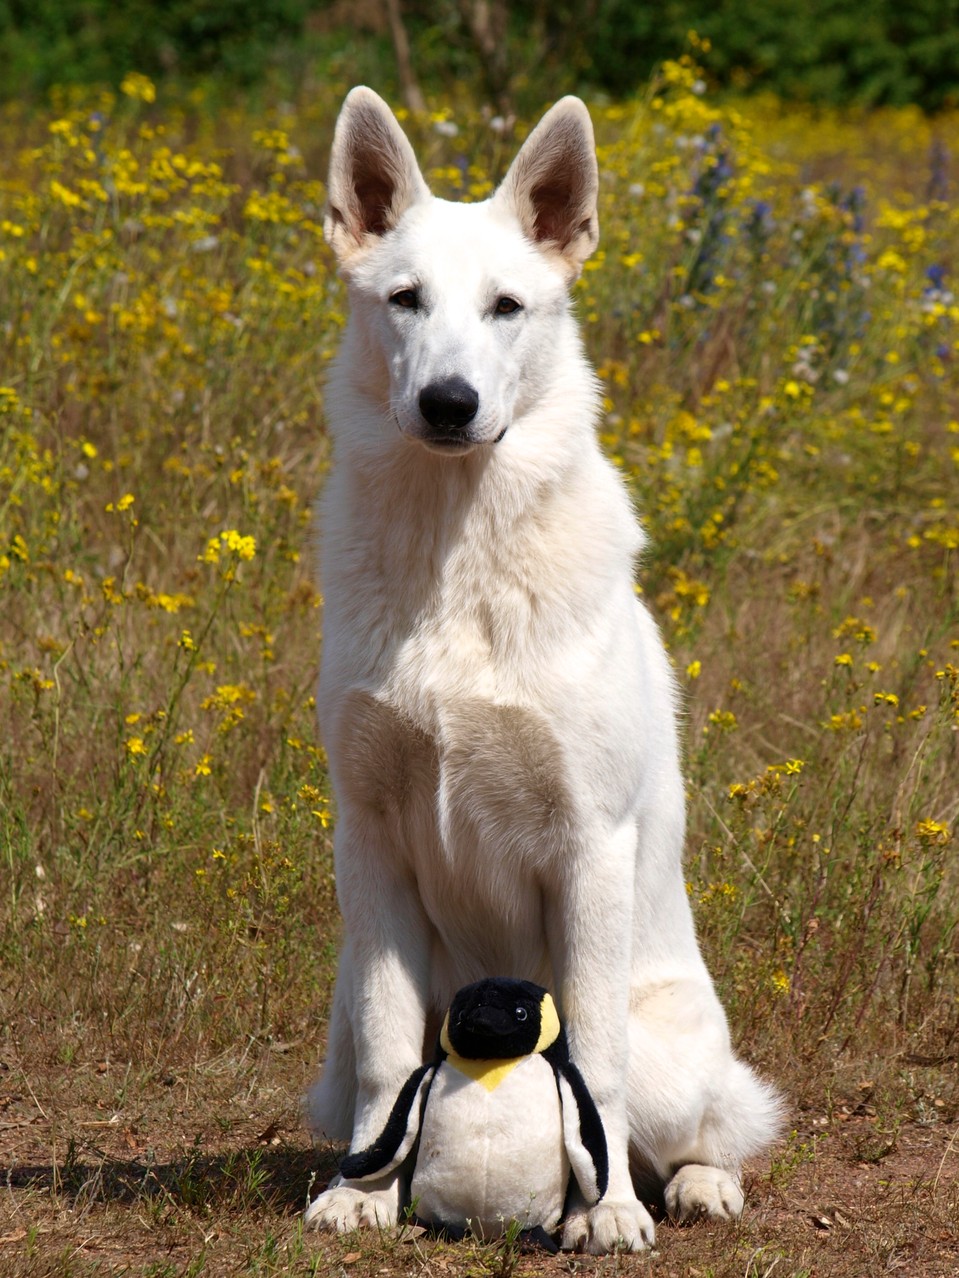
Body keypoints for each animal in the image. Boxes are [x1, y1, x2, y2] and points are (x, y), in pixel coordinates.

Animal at [308, 84, 782, 1252]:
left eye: (507, 308)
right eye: (404, 301)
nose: (447, 403)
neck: (456, 554)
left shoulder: (588, 845)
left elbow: (591, 1066)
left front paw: (603, 1212)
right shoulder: (370, 840)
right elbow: (392, 1050)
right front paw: (362, 1193)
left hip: (678, 1059)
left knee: (709, 1126)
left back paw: (695, 1187)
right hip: (330, 1034)